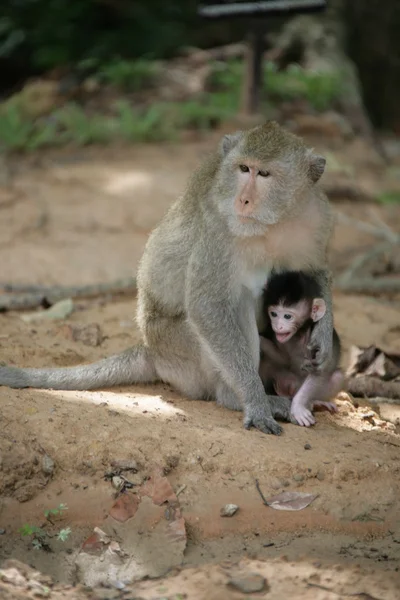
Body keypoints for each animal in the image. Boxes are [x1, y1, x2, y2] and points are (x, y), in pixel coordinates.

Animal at [0, 122, 334, 436]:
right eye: (244, 169)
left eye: (264, 174)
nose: (243, 201)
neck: (272, 224)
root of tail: (150, 349)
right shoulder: (218, 232)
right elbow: (207, 307)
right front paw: (254, 400)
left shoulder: (316, 215)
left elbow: (316, 273)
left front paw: (323, 338)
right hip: (178, 348)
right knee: (238, 302)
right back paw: (236, 396)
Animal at [260, 272, 344, 426]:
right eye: (273, 314)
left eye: (287, 316)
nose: (278, 326)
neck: (298, 334)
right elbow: (282, 359)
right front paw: (260, 339)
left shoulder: (315, 341)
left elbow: (319, 371)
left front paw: (298, 407)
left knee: (337, 376)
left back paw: (316, 401)